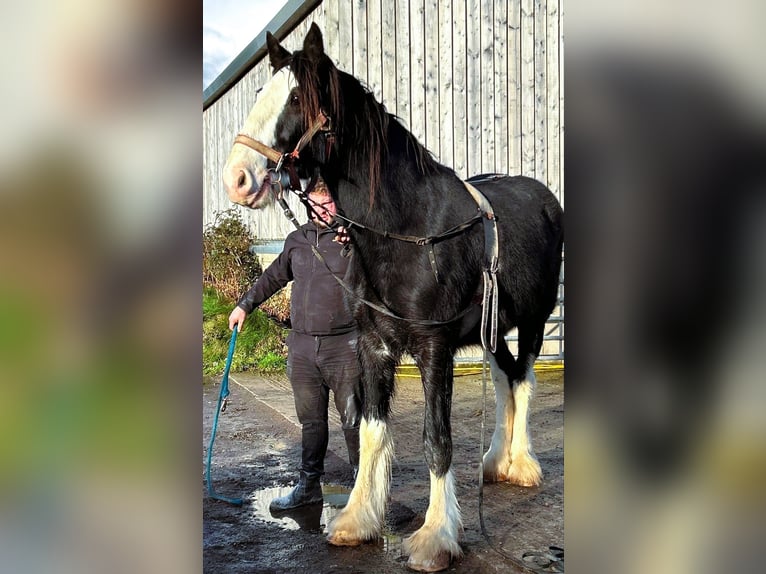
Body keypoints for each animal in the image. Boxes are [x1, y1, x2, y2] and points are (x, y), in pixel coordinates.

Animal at [222, 21, 564, 572]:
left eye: (296, 97)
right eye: (259, 93)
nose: (237, 178)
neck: (408, 229)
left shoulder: (433, 349)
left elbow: (436, 439)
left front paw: (435, 536)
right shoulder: (373, 346)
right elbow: (370, 430)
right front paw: (357, 520)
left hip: (535, 321)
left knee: (525, 381)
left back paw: (523, 465)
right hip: (493, 331)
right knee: (503, 380)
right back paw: (496, 463)